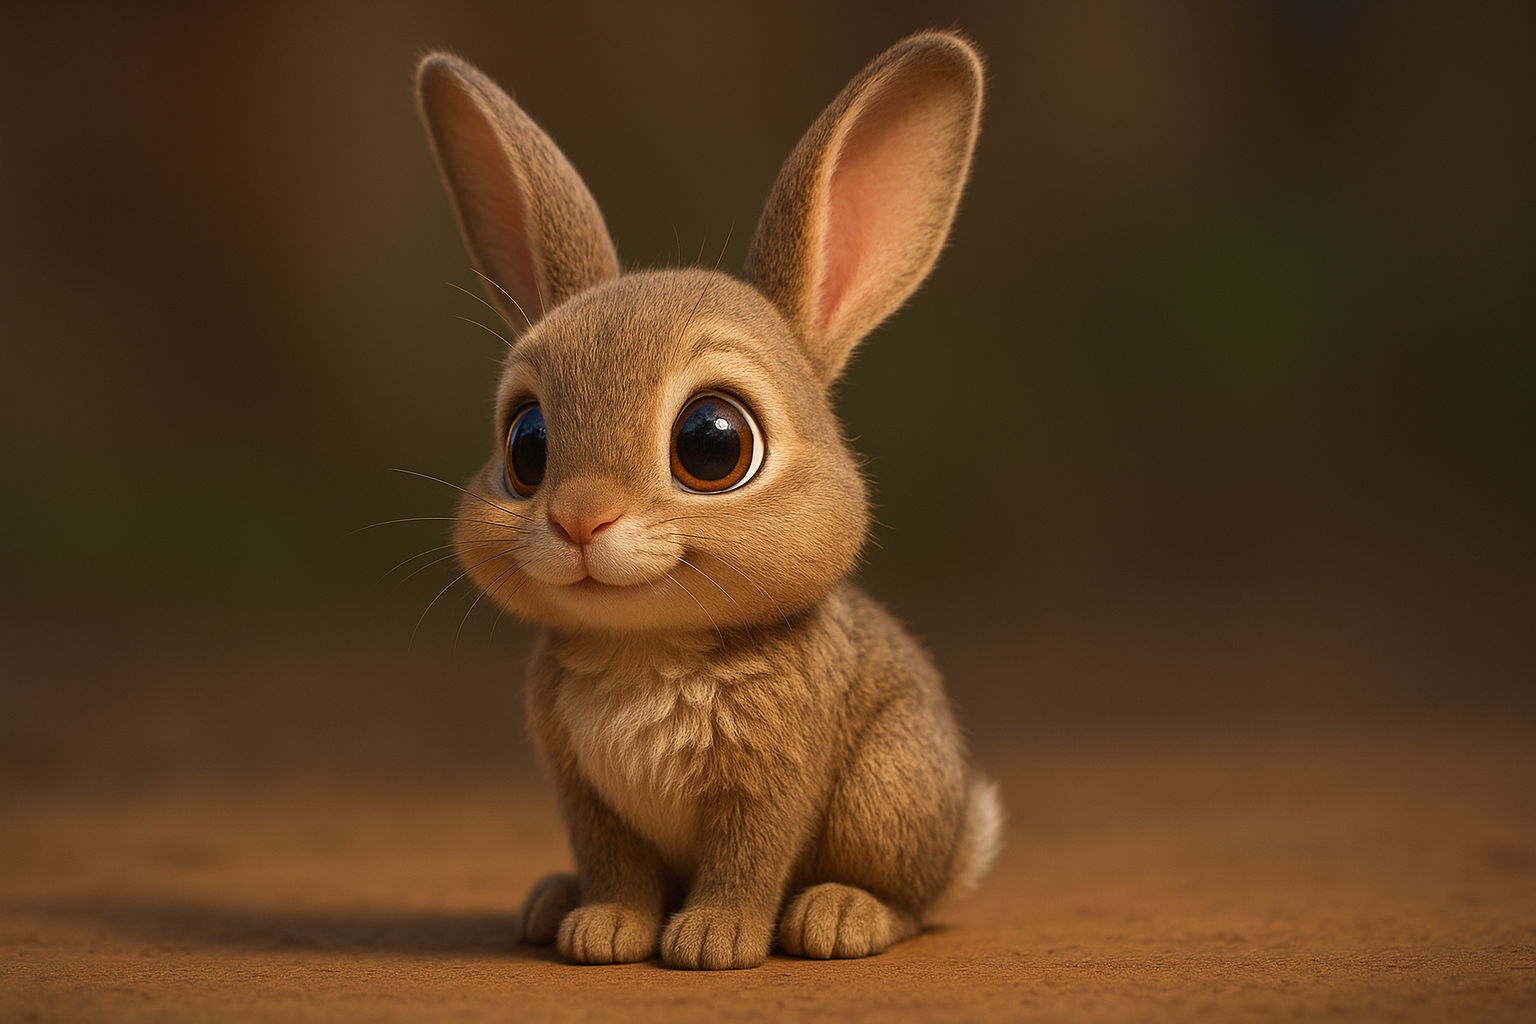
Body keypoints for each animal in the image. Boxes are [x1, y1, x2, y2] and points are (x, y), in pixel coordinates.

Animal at [414, 30, 1000, 970]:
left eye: (712, 443)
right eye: (526, 447)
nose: (579, 519)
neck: (647, 647)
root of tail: (957, 850)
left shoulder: (771, 787)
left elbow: (747, 861)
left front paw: (712, 940)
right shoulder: (584, 795)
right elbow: (615, 864)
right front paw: (605, 930)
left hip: (885, 787)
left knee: (906, 899)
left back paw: (842, 916)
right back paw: (552, 902)